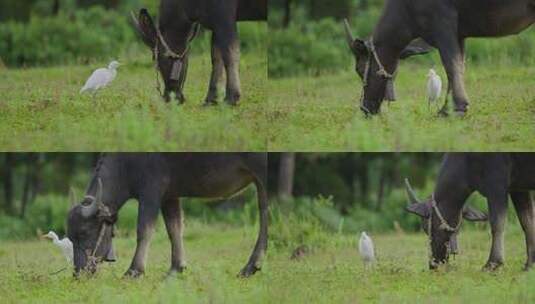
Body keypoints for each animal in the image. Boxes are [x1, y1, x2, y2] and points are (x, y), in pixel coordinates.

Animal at [67, 154, 268, 278]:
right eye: (70, 237)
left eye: (84, 233)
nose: (78, 273)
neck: (125, 165)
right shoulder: (170, 196)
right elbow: (174, 228)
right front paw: (177, 268)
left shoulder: (151, 191)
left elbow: (144, 230)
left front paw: (134, 270)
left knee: (265, 212)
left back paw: (251, 266)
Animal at [131, 0, 268, 104]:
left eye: (159, 60)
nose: (169, 97)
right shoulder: (215, 23)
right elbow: (216, 57)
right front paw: (211, 98)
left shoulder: (224, 17)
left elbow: (230, 53)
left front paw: (232, 97)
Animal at [344, 0, 535, 115]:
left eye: (359, 69)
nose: (365, 108)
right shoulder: (459, 33)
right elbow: (459, 64)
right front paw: (447, 108)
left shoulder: (442, 24)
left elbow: (450, 63)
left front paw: (456, 108)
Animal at [406, 154, 535, 270]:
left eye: (427, 228)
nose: (433, 264)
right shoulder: (517, 188)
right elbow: (527, 221)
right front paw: (530, 264)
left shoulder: (497, 184)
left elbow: (497, 223)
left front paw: (492, 264)